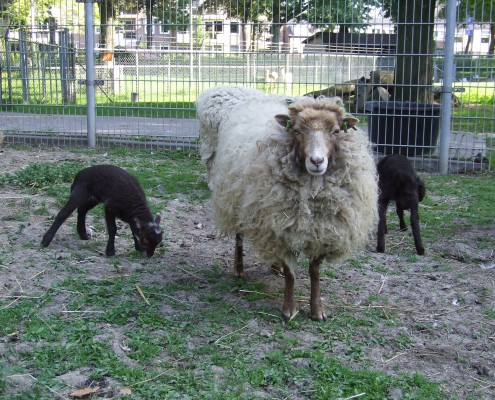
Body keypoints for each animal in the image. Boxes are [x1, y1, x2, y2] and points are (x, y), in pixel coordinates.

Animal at [196, 85, 378, 322]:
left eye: (336, 131)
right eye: (298, 131)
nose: (317, 161)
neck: (312, 191)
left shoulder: (323, 230)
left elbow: (314, 271)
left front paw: (317, 310)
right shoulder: (279, 229)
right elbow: (291, 274)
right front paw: (289, 311)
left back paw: (275, 267)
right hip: (238, 201)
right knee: (239, 236)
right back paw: (239, 269)